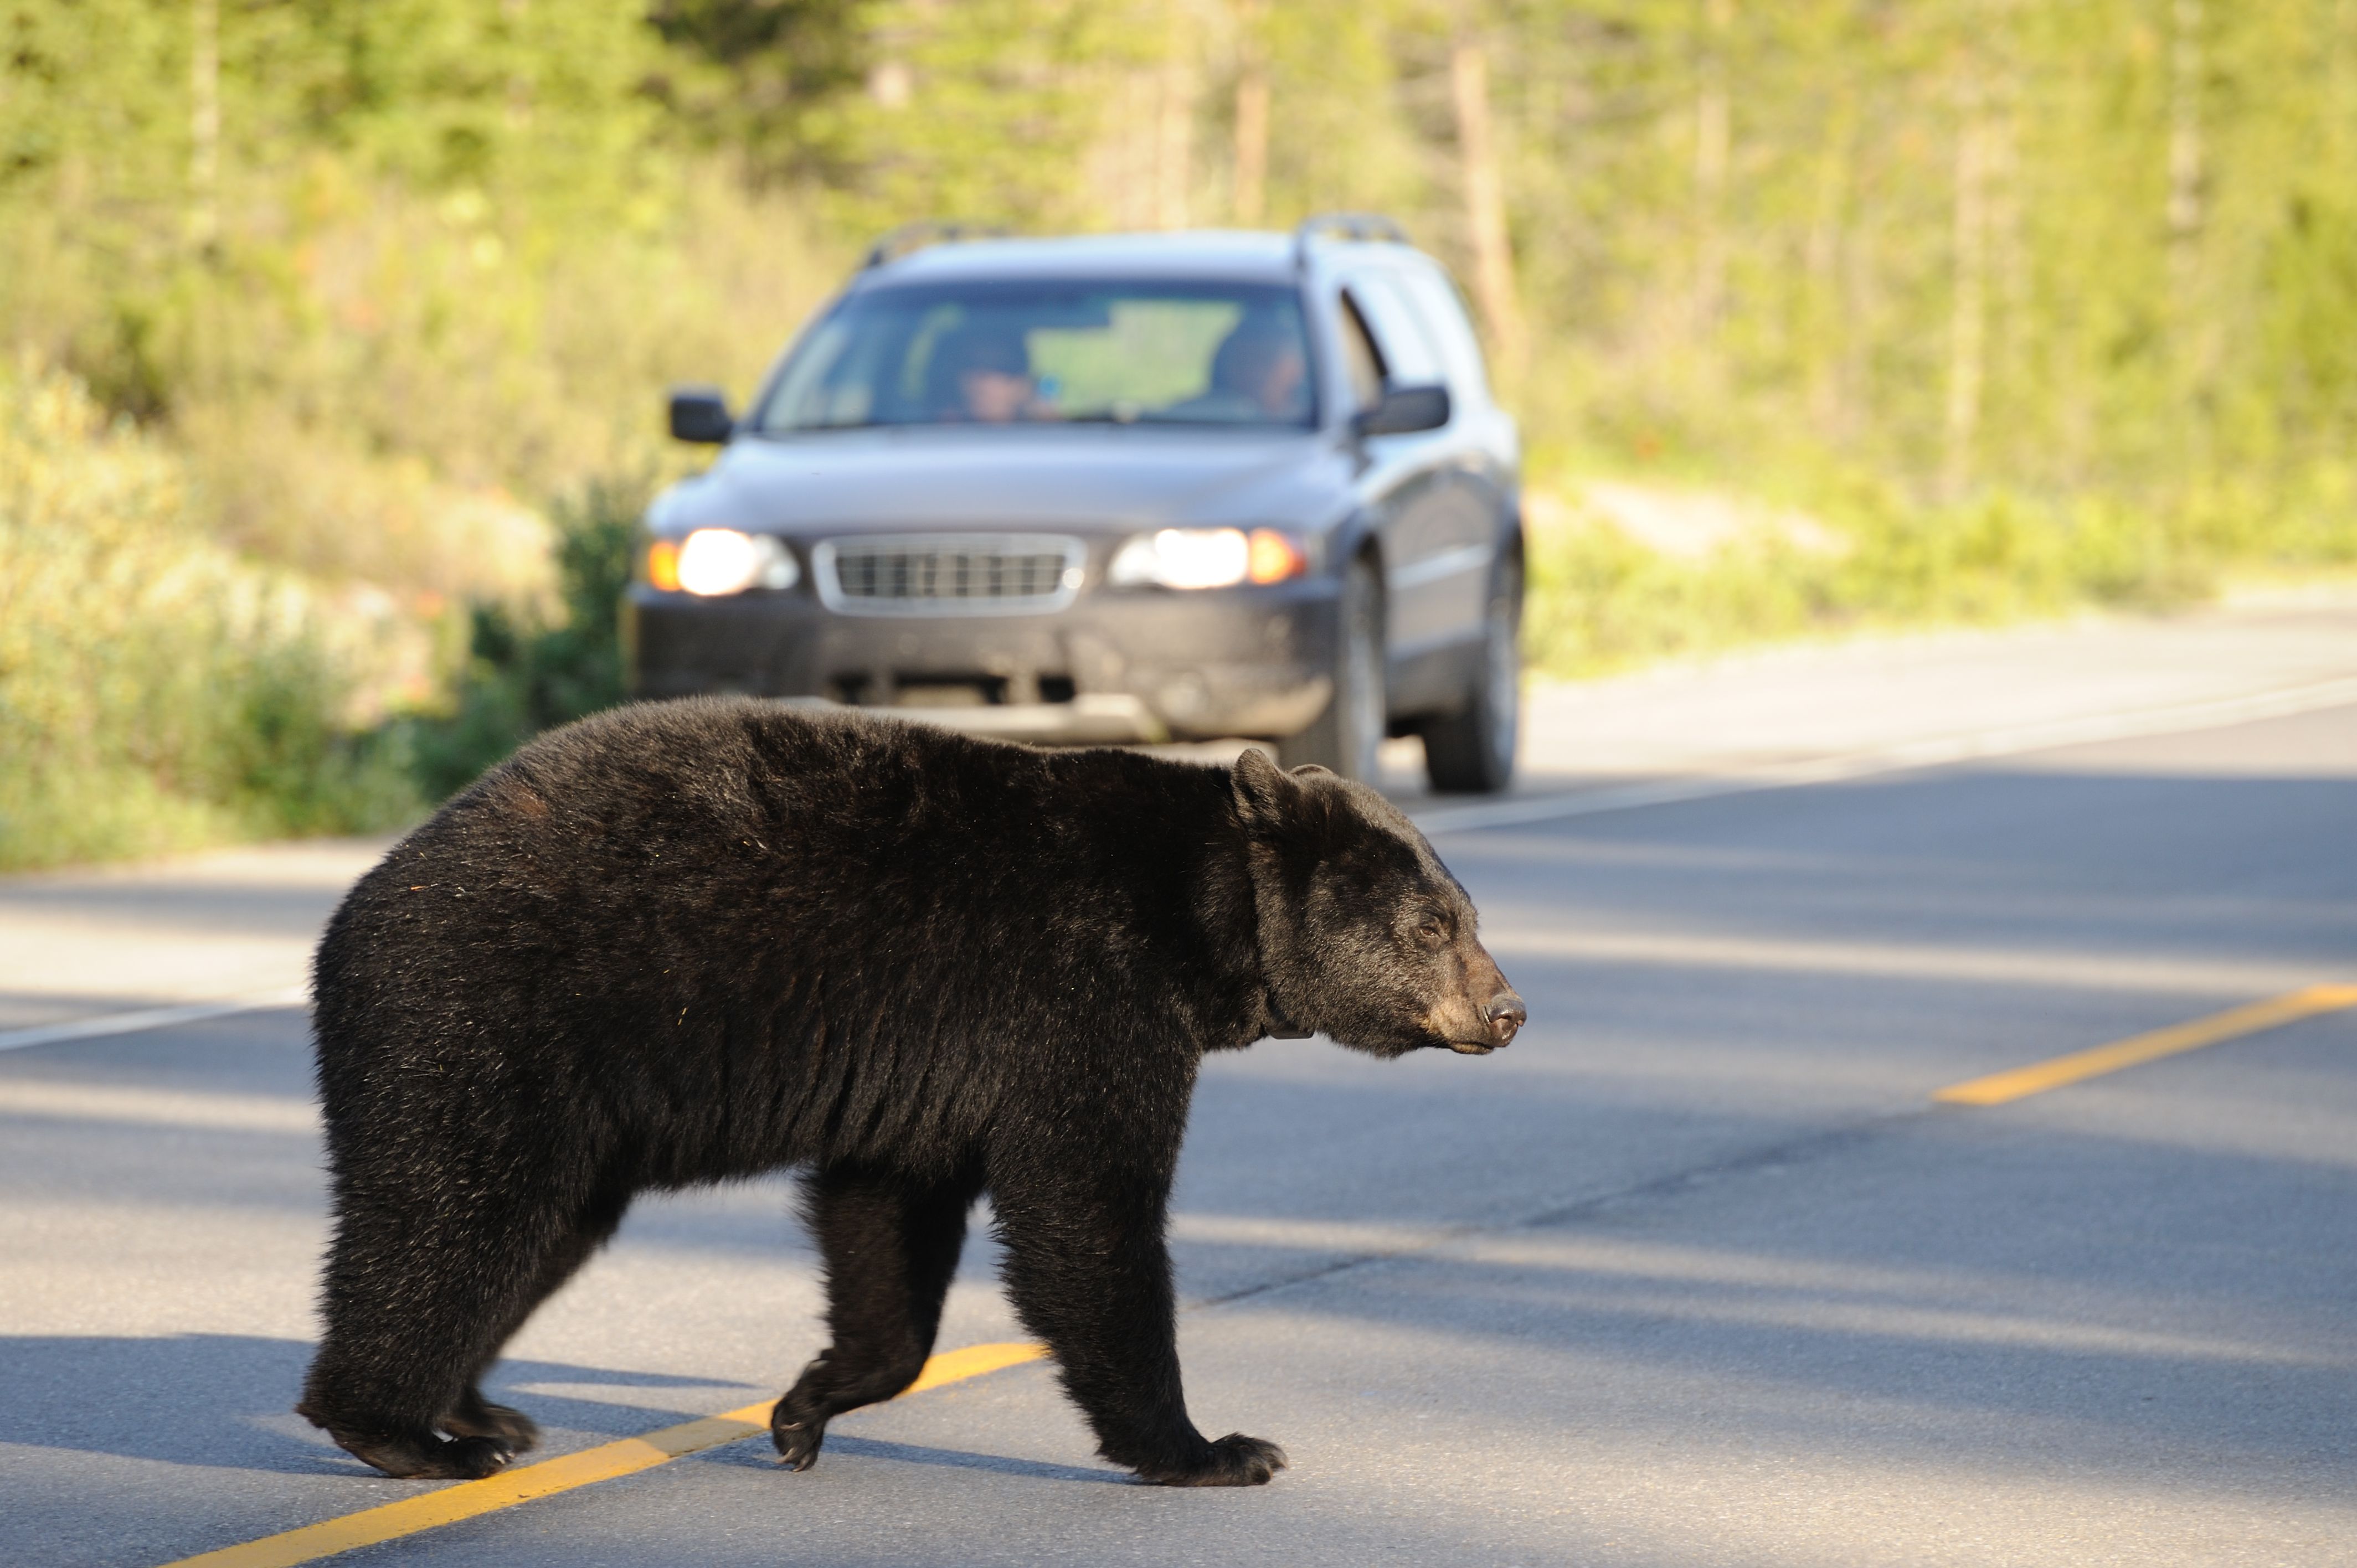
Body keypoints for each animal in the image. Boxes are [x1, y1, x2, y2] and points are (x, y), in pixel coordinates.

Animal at [295, 698, 1517, 1481]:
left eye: (1464, 913)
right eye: (1434, 924)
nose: (1507, 1009)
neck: (1195, 914)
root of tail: (350, 917)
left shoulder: (930, 1060)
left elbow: (888, 1215)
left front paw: (806, 1407)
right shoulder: (1078, 995)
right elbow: (1086, 1206)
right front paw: (1210, 1447)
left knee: (531, 1234)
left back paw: (479, 1411)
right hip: (484, 1027)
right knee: (452, 1219)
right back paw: (402, 1431)